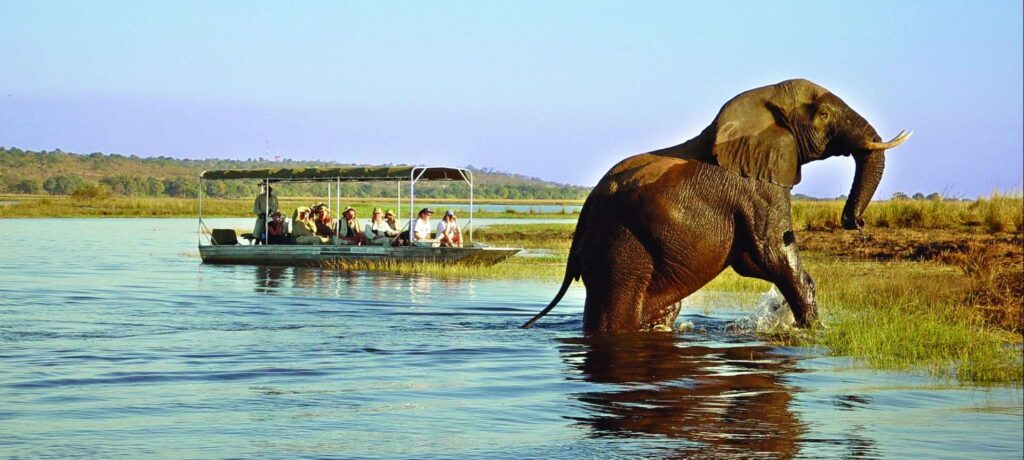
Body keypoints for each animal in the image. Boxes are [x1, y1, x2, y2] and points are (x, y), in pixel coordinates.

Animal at [528, 76, 913, 331]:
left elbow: (753, 260)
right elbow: (771, 254)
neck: (765, 98)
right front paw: (812, 332)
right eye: (823, 116)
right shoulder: (757, 188)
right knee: (617, 312)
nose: (854, 222)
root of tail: (582, 220)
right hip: (619, 247)